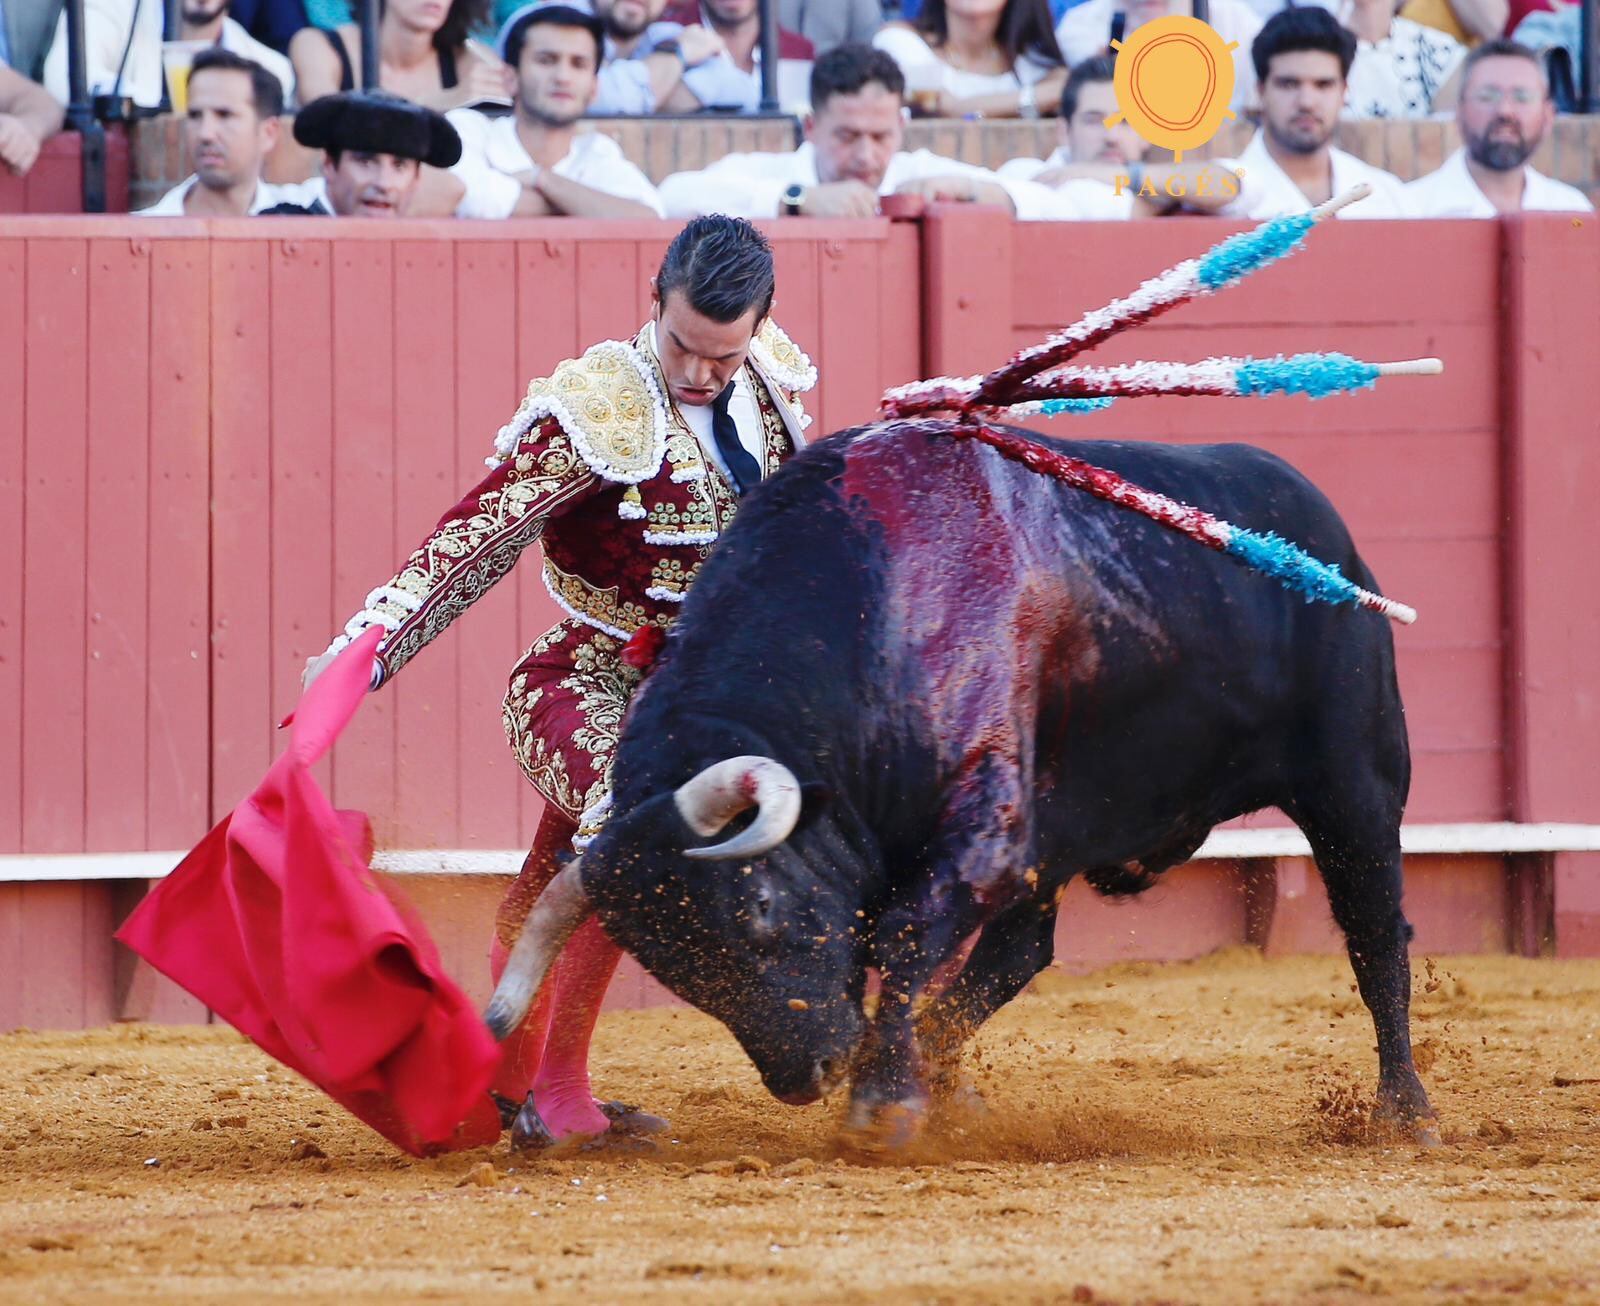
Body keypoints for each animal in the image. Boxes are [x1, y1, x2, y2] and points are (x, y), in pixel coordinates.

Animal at [486, 425, 1440, 1139]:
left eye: (759, 910)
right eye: (673, 968)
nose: (809, 1073)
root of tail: (1316, 519)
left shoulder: (988, 824)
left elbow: (906, 935)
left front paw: (880, 1104)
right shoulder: (1017, 838)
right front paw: (904, 1090)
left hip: (1354, 783)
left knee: (1374, 932)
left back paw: (1404, 1114)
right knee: (1020, 952)